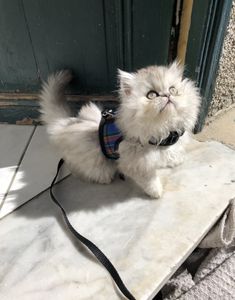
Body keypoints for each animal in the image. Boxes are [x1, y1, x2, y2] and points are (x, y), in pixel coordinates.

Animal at [39, 61, 201, 198]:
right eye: (151, 95)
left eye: (173, 90)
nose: (167, 95)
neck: (162, 130)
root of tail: (63, 123)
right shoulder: (137, 164)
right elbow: (150, 181)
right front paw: (156, 193)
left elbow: (170, 154)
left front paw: (175, 160)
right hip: (98, 166)